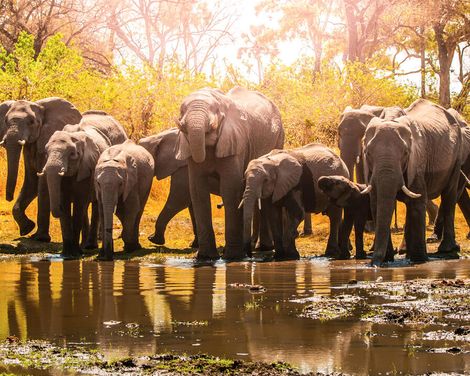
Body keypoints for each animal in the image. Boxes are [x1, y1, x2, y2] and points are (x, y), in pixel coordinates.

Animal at [0, 97, 81, 241]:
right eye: (5, 121)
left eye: (32, 122)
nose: (8, 198)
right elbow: (31, 182)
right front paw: (27, 229)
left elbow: (42, 183)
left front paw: (40, 238)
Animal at [174, 86, 282, 260]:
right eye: (182, 111)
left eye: (215, 114)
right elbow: (198, 191)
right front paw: (206, 257)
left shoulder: (236, 141)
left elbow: (229, 189)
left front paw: (232, 257)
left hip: (279, 138)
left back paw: (262, 247)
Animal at [364, 98, 462, 266]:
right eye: (368, 153)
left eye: (405, 153)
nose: (374, 264)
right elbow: (376, 202)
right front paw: (388, 259)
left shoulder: (417, 160)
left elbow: (417, 203)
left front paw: (419, 260)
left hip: (457, 155)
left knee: (449, 195)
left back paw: (446, 250)